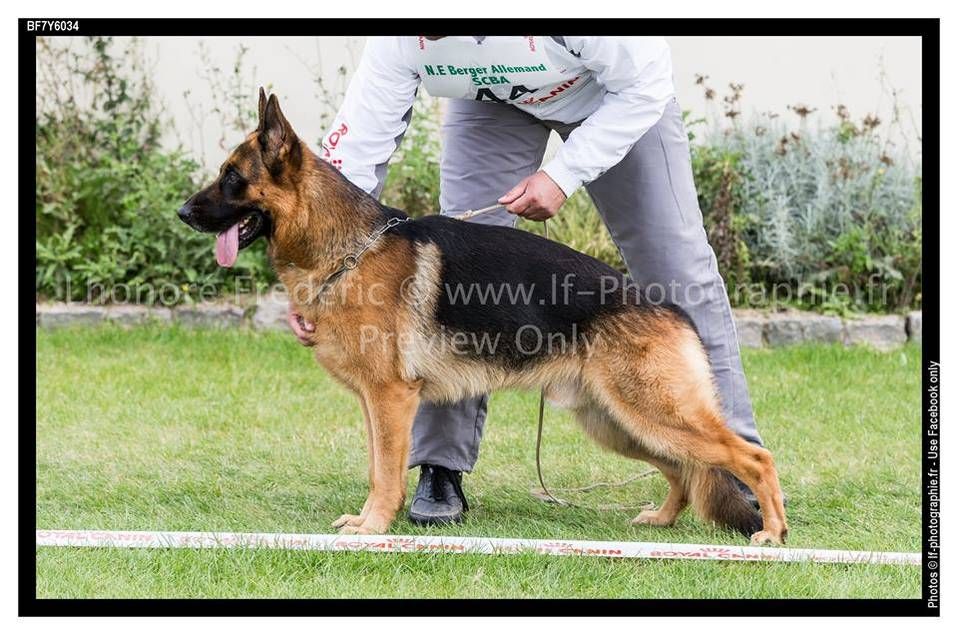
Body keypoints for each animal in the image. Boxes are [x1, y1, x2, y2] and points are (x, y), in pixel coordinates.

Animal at [178, 90, 788, 548]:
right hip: (618, 423)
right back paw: (663, 520)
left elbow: (386, 471)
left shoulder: (391, 399)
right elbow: (378, 464)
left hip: (653, 414)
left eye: (231, 177)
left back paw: (772, 532)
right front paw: (370, 520)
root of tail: (667, 306)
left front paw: (374, 527)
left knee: (753, 457)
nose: (181, 212)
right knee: (683, 470)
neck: (348, 249)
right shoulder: (375, 405)